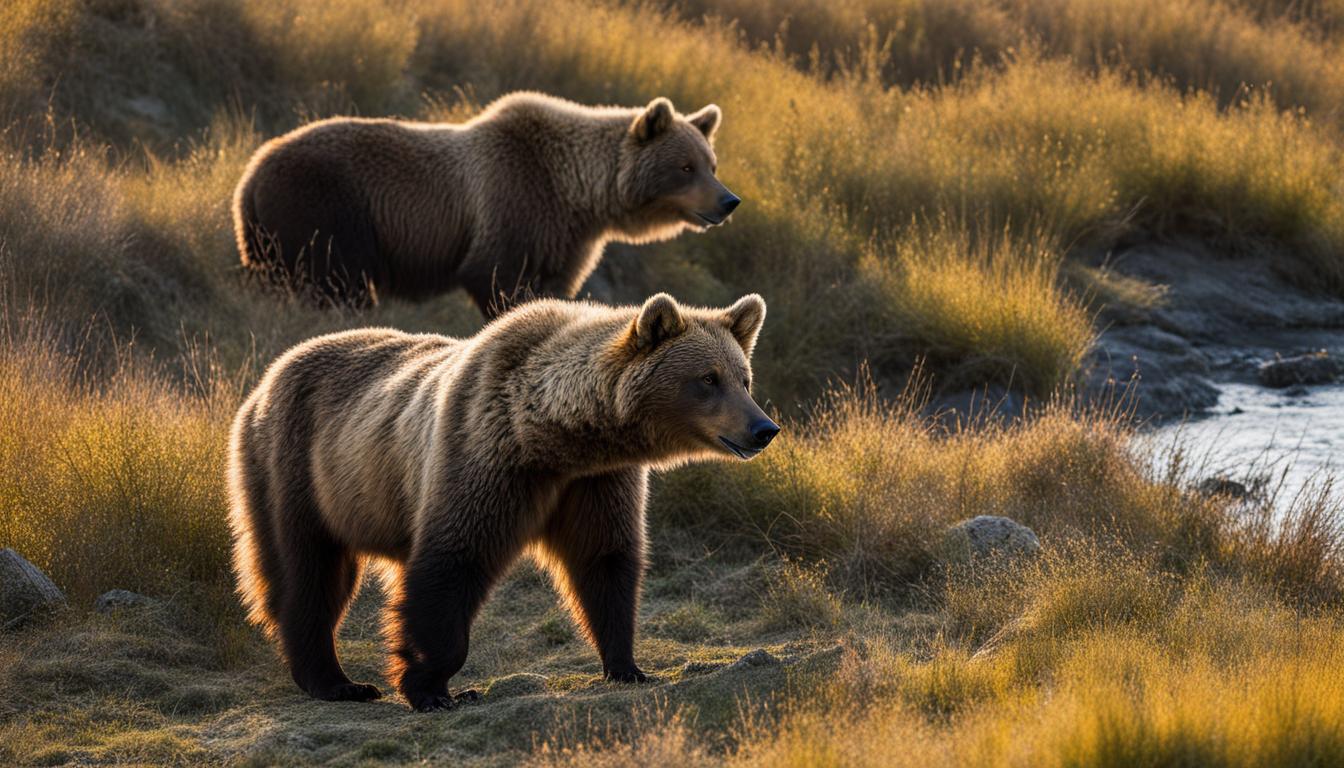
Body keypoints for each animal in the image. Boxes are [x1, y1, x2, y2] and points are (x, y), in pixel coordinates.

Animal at [227, 93, 741, 316]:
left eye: (711, 163)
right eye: (686, 167)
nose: (728, 201)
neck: (577, 193)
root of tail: (247, 178)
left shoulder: (564, 240)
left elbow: (554, 287)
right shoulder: (515, 202)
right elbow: (494, 276)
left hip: (273, 235)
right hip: (327, 209)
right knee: (338, 282)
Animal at [227, 293, 784, 710]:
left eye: (744, 377)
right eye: (708, 378)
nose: (763, 428)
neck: (552, 436)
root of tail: (268, 375)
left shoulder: (595, 482)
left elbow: (605, 561)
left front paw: (627, 665)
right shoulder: (485, 456)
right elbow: (453, 561)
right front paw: (432, 687)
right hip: (296, 467)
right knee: (309, 573)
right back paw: (337, 681)